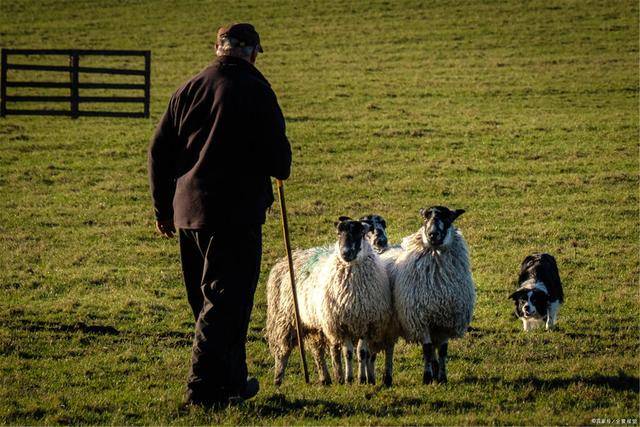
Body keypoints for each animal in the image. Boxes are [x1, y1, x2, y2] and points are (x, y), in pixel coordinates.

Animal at [264, 216, 392, 386]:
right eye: (338, 233)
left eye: (360, 233)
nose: (345, 253)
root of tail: (286, 260)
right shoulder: (341, 324)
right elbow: (348, 353)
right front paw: (349, 379)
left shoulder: (367, 323)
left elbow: (362, 353)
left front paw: (362, 379)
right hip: (285, 319)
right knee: (283, 351)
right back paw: (278, 379)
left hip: (314, 325)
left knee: (317, 351)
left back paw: (326, 378)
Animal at [390, 206, 476, 386]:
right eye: (425, 218)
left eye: (448, 217)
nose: (432, 234)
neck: (437, 285)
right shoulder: (421, 320)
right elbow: (427, 350)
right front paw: (427, 378)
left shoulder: (446, 322)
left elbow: (442, 351)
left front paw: (442, 377)